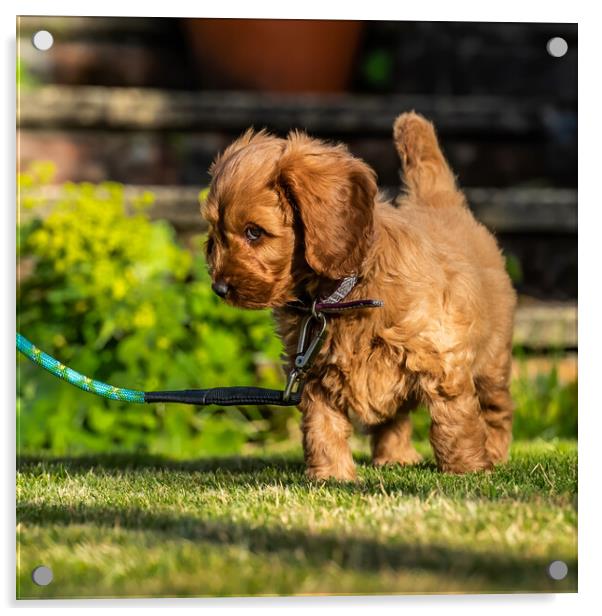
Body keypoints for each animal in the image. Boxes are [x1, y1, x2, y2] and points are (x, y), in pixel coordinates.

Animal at [203, 112, 516, 482]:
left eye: (254, 232)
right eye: (214, 236)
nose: (219, 288)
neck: (336, 297)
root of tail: (438, 202)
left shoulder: (441, 357)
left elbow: (455, 422)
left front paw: (465, 469)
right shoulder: (313, 372)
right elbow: (322, 427)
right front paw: (331, 476)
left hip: (493, 359)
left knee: (496, 409)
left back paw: (493, 453)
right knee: (394, 418)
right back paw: (394, 458)